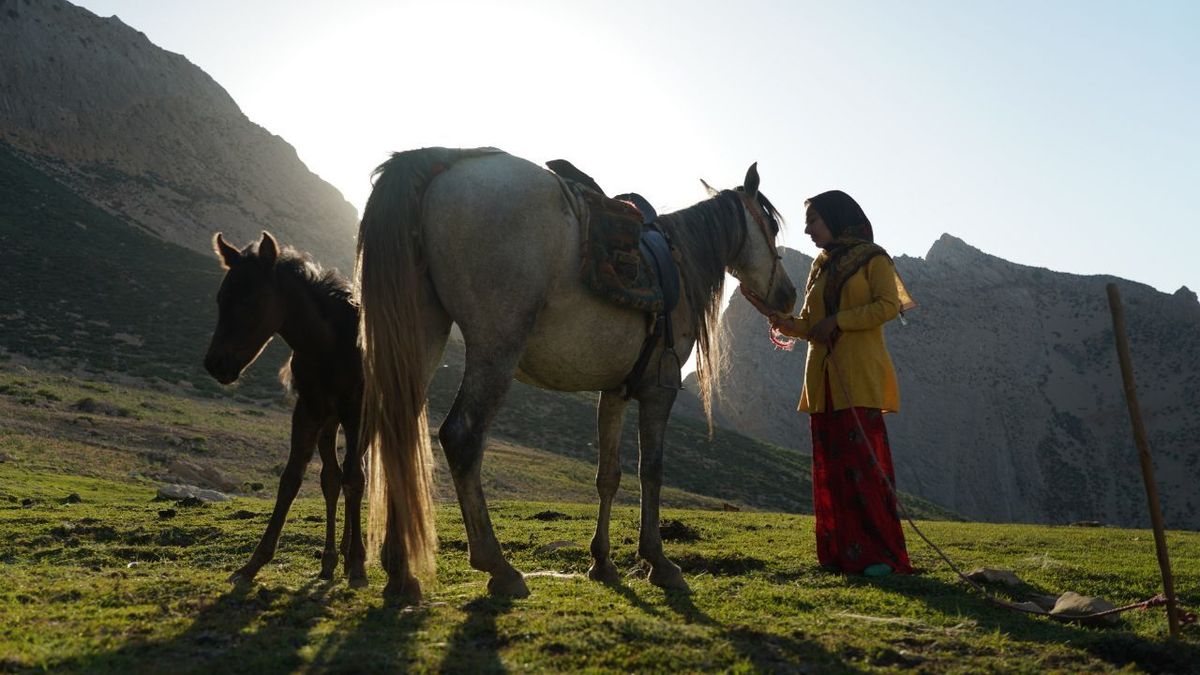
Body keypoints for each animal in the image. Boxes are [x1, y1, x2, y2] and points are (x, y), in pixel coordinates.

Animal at [352, 147, 796, 598]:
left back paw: (400, 573)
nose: (789, 294)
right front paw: (658, 561)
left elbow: (609, 475)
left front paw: (602, 562)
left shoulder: (615, 391)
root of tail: (444, 164)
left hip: (420, 337)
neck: (680, 260)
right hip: (496, 347)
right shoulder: (660, 387)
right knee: (461, 437)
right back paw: (498, 566)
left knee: (396, 432)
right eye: (772, 226)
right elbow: (651, 471)